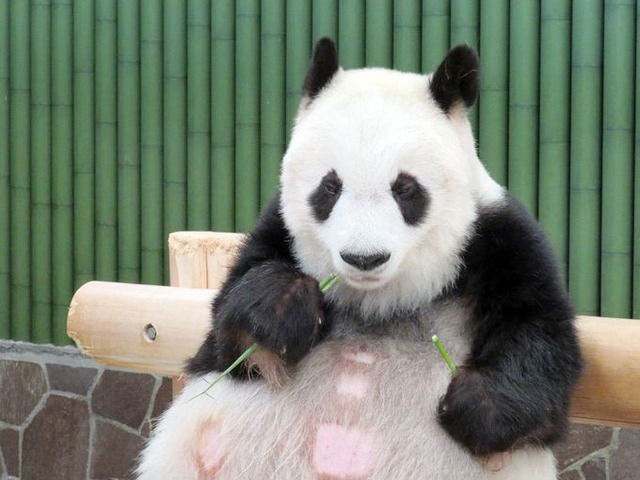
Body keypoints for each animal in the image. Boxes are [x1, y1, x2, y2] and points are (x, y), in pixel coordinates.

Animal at [138, 39, 584, 478]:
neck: (382, 300)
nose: (364, 258)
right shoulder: (275, 230)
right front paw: (283, 306)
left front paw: (476, 407)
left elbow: (540, 334)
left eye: (405, 189)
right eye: (330, 187)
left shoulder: (497, 238)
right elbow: (229, 340)